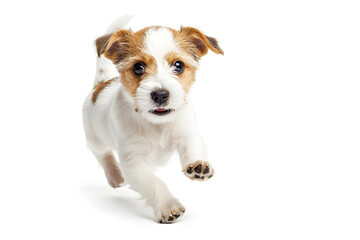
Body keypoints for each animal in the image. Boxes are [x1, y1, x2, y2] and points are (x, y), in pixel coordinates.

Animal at [83, 16, 224, 223]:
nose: (160, 95)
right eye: (138, 67)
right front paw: (168, 206)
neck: (157, 125)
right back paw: (115, 176)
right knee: (103, 154)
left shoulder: (188, 134)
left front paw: (197, 165)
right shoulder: (134, 163)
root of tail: (100, 84)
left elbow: (192, 148)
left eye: (179, 65)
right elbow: (154, 183)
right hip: (94, 138)